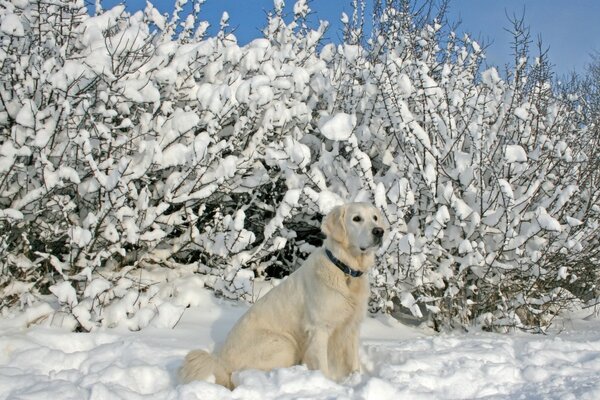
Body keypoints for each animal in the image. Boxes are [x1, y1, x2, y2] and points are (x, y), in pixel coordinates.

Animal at [178, 203, 384, 388]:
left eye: (375, 218)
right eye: (356, 219)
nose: (380, 231)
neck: (346, 271)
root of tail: (221, 363)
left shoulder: (352, 327)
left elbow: (354, 362)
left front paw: (356, 379)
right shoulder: (319, 328)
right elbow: (322, 366)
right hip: (283, 343)